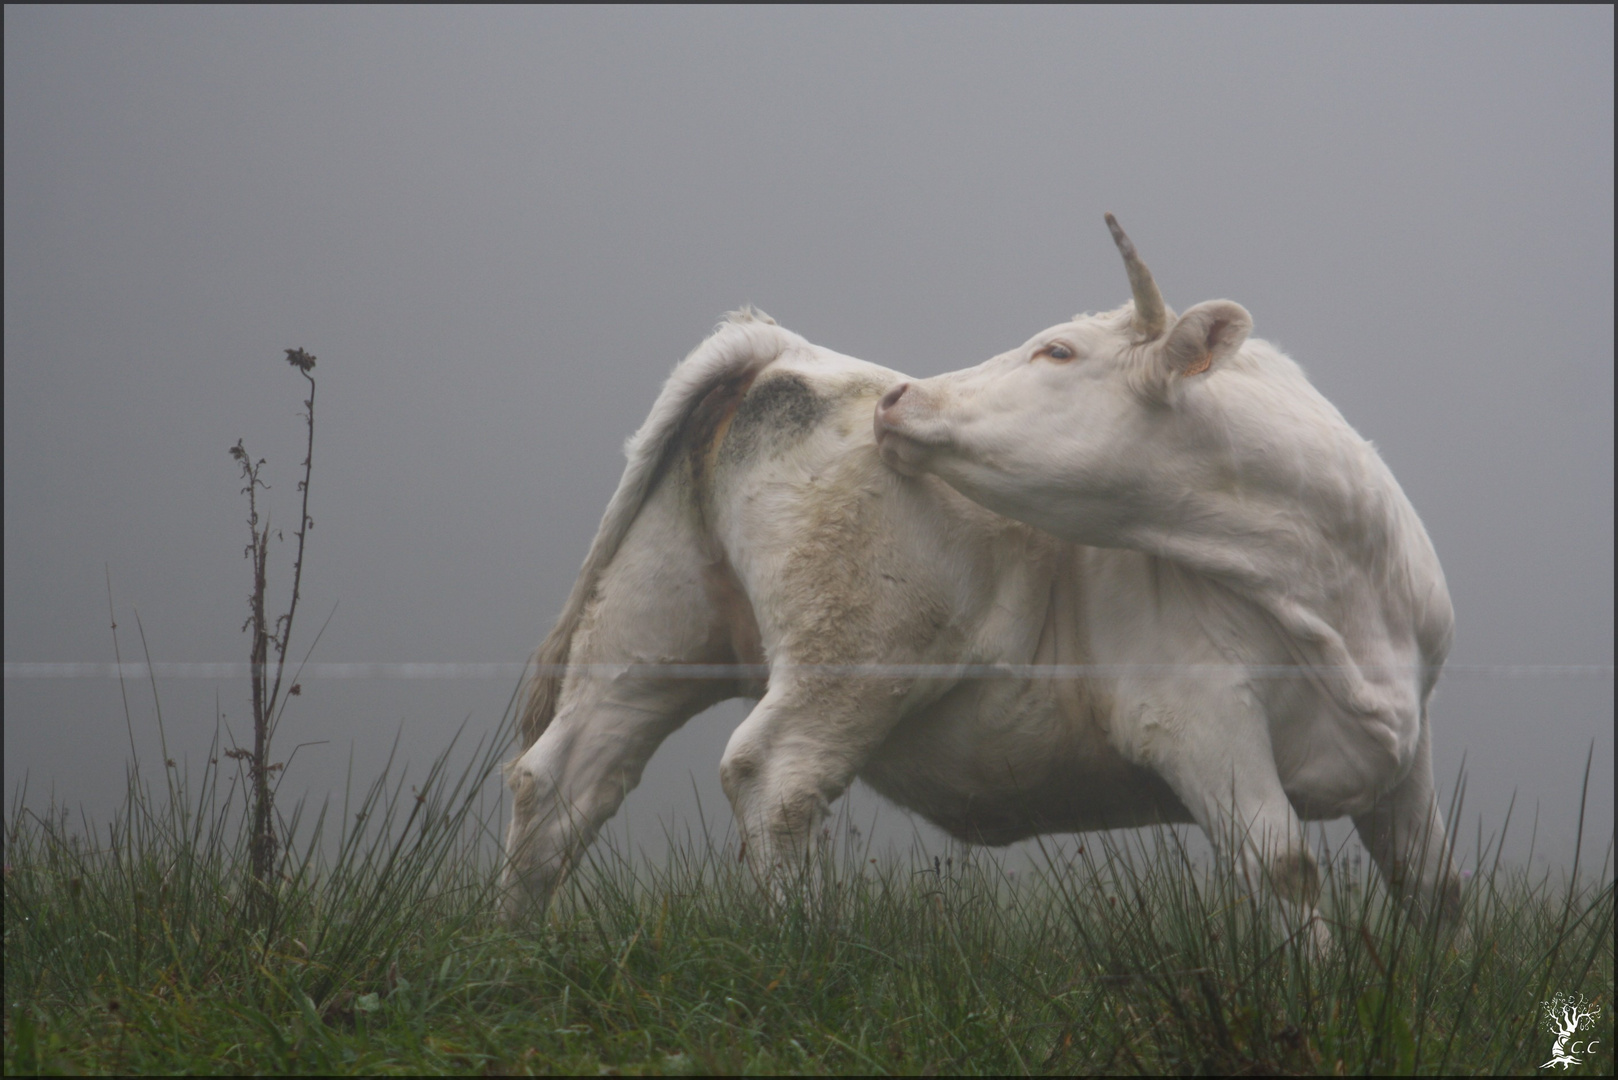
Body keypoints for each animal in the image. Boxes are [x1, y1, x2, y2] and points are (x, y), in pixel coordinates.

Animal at [880, 216, 1462, 932]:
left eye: (1058, 352)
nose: (896, 396)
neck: (1338, 593)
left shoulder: (1413, 729)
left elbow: (1436, 886)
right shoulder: (1195, 719)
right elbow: (1286, 870)